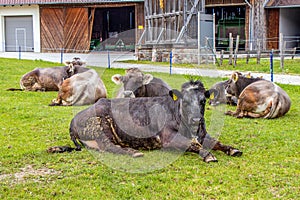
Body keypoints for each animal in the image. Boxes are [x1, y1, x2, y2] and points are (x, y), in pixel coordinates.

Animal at [48, 80, 241, 163]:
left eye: (203, 101)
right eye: (185, 101)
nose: (196, 119)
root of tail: (73, 120)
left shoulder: (203, 133)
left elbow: (215, 141)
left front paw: (233, 149)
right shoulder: (168, 138)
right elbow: (192, 144)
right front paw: (208, 155)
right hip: (101, 127)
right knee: (109, 147)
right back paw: (134, 152)